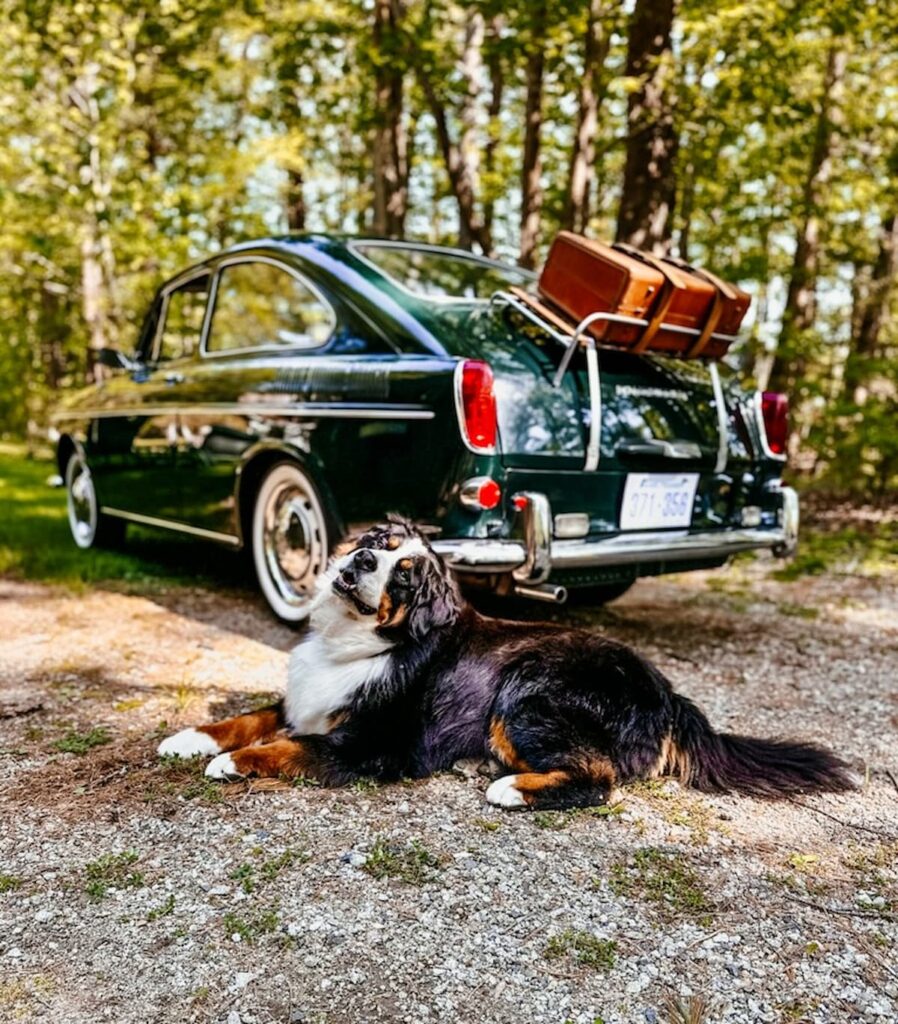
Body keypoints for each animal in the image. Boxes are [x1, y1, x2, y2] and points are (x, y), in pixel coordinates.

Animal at [157, 512, 851, 806]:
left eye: (405, 575)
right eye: (377, 543)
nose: (362, 562)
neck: (357, 642)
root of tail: (668, 692)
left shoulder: (376, 743)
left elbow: (288, 745)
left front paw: (231, 763)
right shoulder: (308, 696)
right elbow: (251, 716)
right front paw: (192, 737)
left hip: (527, 690)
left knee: (598, 780)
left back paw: (509, 788)